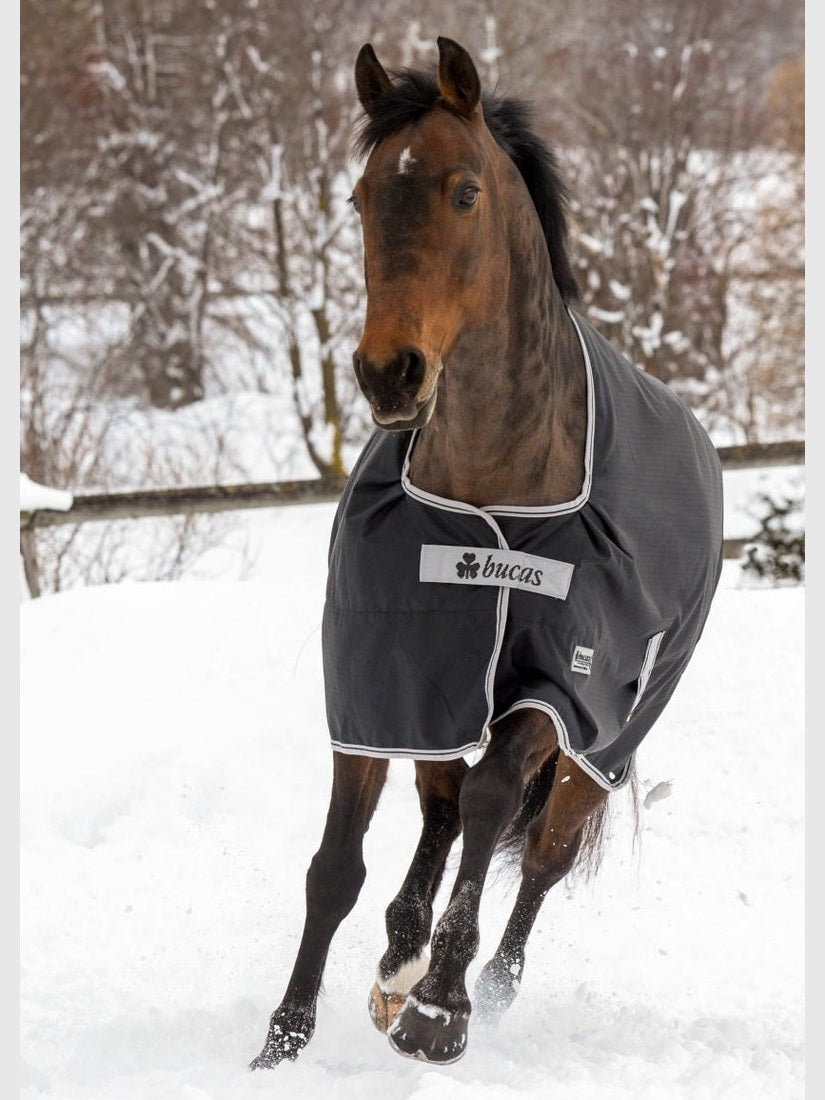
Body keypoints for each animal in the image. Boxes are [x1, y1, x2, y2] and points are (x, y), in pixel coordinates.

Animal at [251, 35, 723, 1068]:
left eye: (464, 192)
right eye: (359, 198)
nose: (387, 374)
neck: (489, 490)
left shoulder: (560, 686)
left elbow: (495, 799)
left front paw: (441, 1010)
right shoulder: (385, 676)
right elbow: (334, 866)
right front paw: (284, 1042)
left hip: (606, 743)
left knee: (533, 850)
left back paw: (482, 985)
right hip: (446, 696)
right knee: (438, 807)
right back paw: (397, 957)